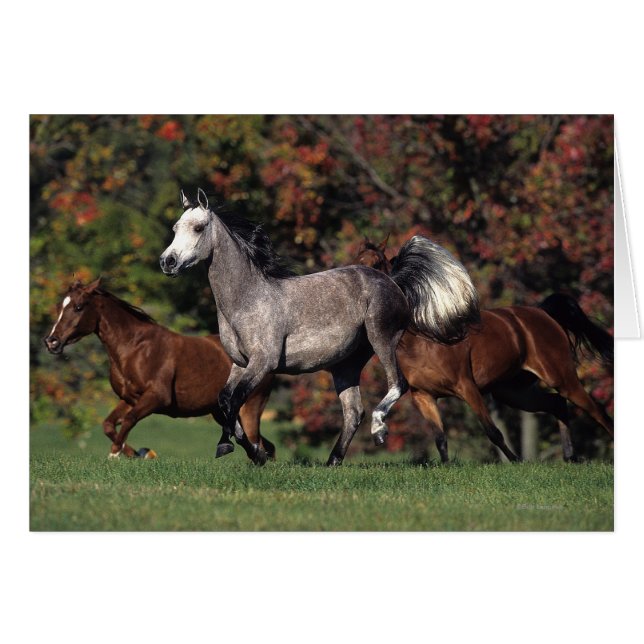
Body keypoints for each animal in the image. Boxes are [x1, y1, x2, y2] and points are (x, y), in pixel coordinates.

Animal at [43, 278, 274, 462]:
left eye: (79, 307)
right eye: (59, 306)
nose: (52, 342)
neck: (135, 348)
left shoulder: (156, 397)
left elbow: (128, 420)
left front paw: (117, 454)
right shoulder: (130, 398)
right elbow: (109, 424)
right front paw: (133, 453)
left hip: (249, 409)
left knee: (257, 444)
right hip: (221, 413)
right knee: (263, 446)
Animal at [159, 189, 480, 466]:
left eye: (199, 228)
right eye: (175, 228)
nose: (168, 261)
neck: (247, 299)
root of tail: (393, 281)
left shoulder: (263, 363)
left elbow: (235, 401)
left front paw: (233, 448)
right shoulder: (240, 364)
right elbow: (225, 400)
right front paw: (254, 453)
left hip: (382, 339)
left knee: (396, 385)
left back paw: (378, 431)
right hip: (346, 364)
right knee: (353, 412)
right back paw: (332, 461)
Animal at [353, 238, 614, 462]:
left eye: (376, 264)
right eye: (356, 261)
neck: (423, 338)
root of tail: (544, 314)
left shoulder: (467, 387)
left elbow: (492, 431)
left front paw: (517, 461)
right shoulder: (424, 397)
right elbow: (440, 439)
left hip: (561, 378)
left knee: (595, 409)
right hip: (513, 392)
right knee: (557, 404)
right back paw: (570, 456)